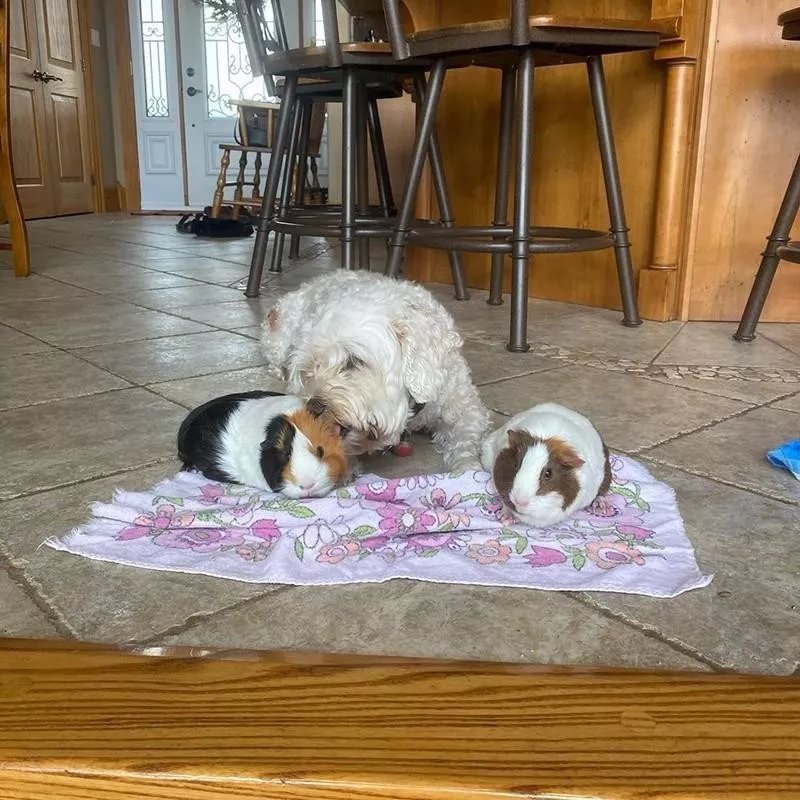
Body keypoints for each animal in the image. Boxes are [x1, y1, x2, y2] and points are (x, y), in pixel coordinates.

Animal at [260, 270, 488, 468]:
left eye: (354, 361)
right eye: (309, 369)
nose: (313, 408)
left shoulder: (464, 406)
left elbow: (465, 440)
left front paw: (468, 470)